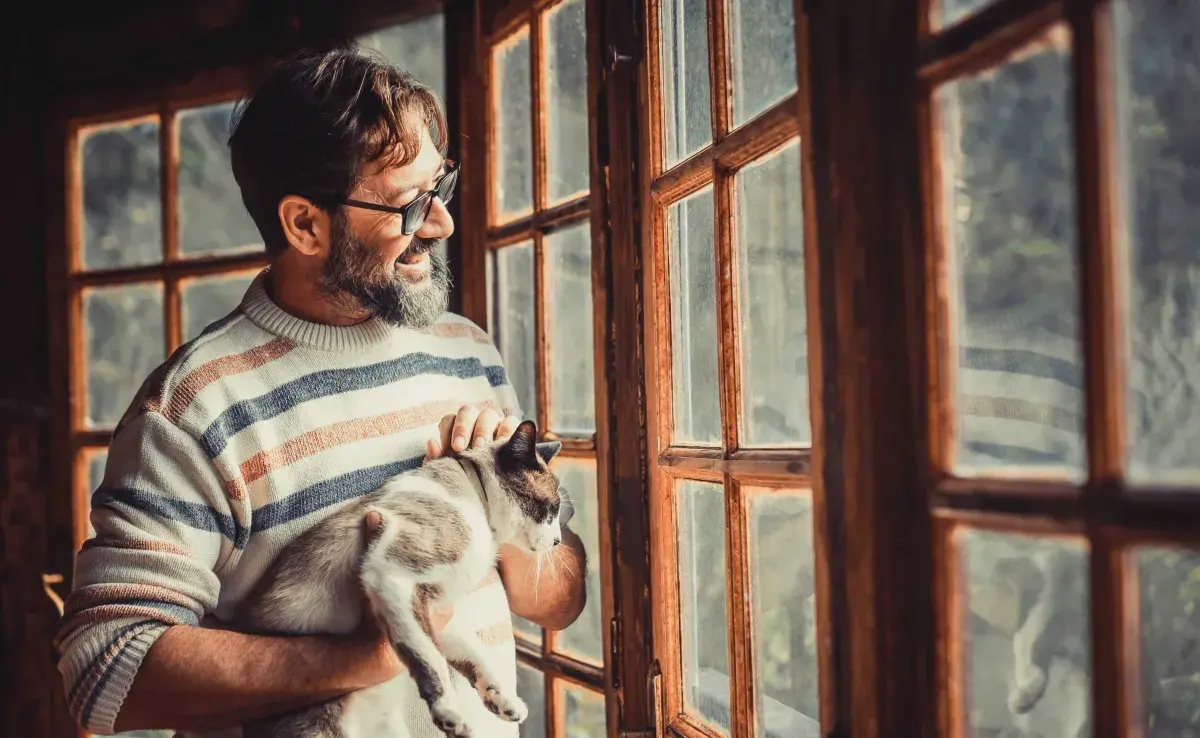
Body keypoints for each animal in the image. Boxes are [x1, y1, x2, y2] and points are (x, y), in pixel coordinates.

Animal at [235, 422, 571, 738]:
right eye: (551, 509)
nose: (557, 541)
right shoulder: (393, 576)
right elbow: (431, 657)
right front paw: (451, 716)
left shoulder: (434, 609)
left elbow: (472, 651)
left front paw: (504, 701)